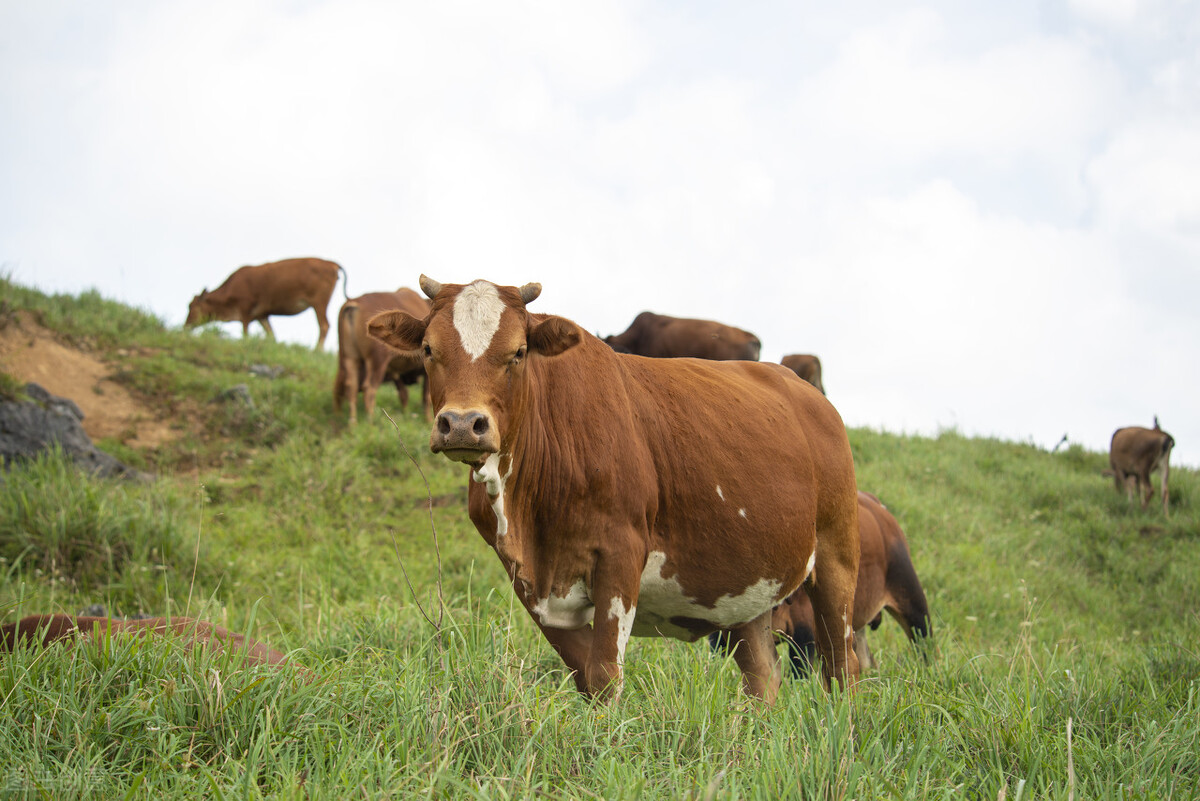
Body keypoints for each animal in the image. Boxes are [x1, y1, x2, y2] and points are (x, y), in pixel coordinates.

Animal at [186, 256, 348, 350]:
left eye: (191, 306)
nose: (185, 326)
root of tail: (332, 264)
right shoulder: (262, 315)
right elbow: (271, 336)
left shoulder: (245, 309)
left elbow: (245, 333)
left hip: (319, 302)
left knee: (324, 325)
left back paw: (317, 350)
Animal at [333, 288, 432, 424]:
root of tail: (353, 303)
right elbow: (426, 397)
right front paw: (428, 420)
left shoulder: (395, 372)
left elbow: (404, 395)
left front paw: (406, 415)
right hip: (377, 361)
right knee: (369, 389)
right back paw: (371, 421)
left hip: (350, 358)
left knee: (351, 387)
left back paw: (352, 423)